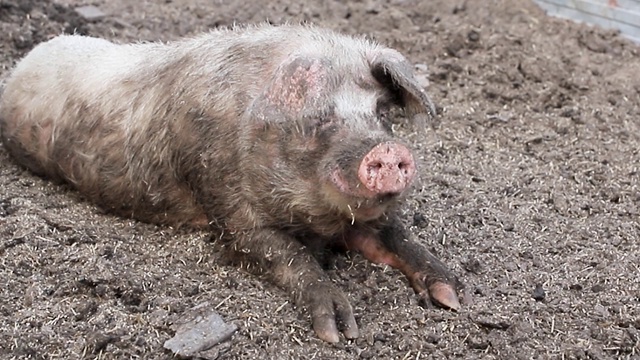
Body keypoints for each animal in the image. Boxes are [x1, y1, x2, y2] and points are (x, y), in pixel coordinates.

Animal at [0, 23, 462, 342]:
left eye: (381, 114)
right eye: (320, 120)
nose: (387, 150)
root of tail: (23, 64)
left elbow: (399, 238)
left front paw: (454, 297)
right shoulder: (225, 203)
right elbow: (287, 255)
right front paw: (341, 331)